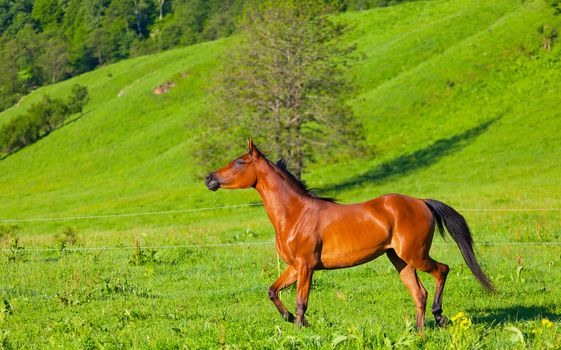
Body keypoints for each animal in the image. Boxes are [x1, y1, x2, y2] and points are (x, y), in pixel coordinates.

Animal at [203, 139, 492, 328]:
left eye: (239, 162)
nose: (209, 178)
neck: (295, 215)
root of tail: (422, 202)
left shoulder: (306, 266)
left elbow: (301, 302)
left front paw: (301, 326)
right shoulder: (294, 267)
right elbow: (273, 291)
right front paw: (292, 320)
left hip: (416, 255)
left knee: (442, 271)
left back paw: (439, 315)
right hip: (400, 259)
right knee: (419, 293)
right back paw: (419, 333)